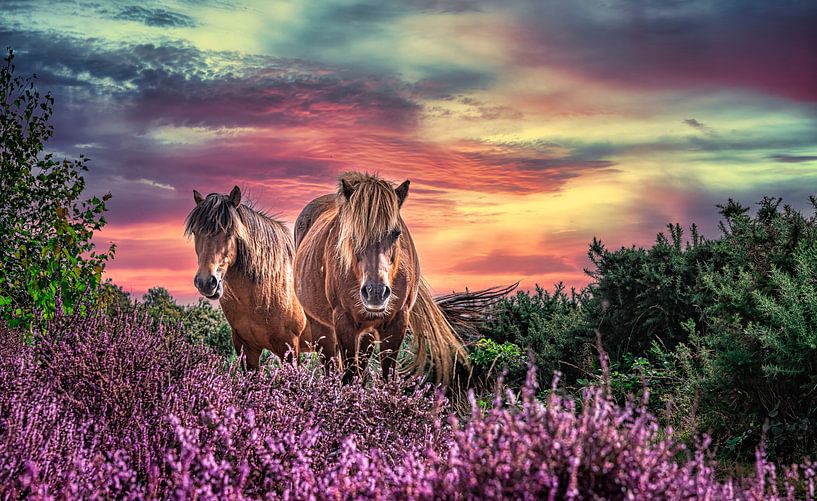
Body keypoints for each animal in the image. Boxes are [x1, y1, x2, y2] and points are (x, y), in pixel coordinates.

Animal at [293, 172, 468, 383]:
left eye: (396, 233)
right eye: (352, 234)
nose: (375, 292)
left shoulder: (397, 321)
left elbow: (386, 376)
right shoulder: (343, 321)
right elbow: (349, 375)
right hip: (320, 324)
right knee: (329, 366)